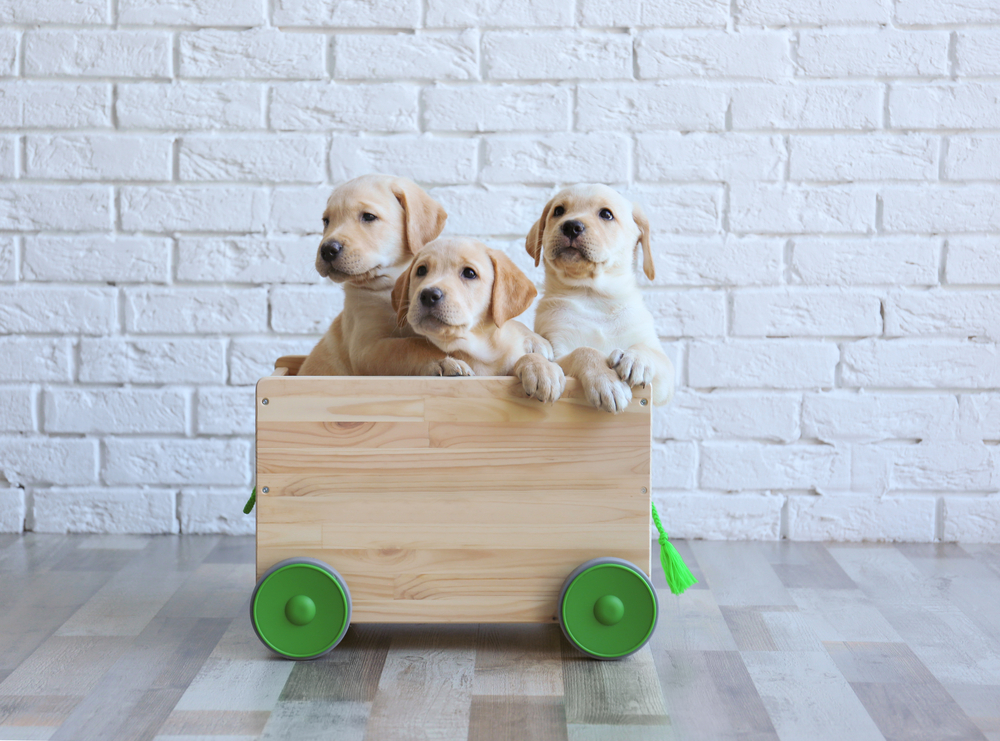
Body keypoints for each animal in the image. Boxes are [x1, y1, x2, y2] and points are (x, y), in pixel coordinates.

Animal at [300, 173, 468, 376]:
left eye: (368, 217)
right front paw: (443, 361)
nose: (327, 250)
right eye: (326, 221)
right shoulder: (365, 347)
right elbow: (410, 345)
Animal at [390, 237, 568, 402]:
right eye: (421, 270)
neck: (477, 351)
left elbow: (520, 357)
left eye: (469, 273)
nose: (428, 295)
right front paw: (442, 362)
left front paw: (542, 368)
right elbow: (413, 345)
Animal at [528, 180, 676, 410]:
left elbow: (650, 351)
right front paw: (606, 381)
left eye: (606, 214)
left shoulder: (663, 384)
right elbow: (585, 351)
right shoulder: (558, 351)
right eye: (558, 211)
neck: (593, 296)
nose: (571, 226)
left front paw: (636, 358)